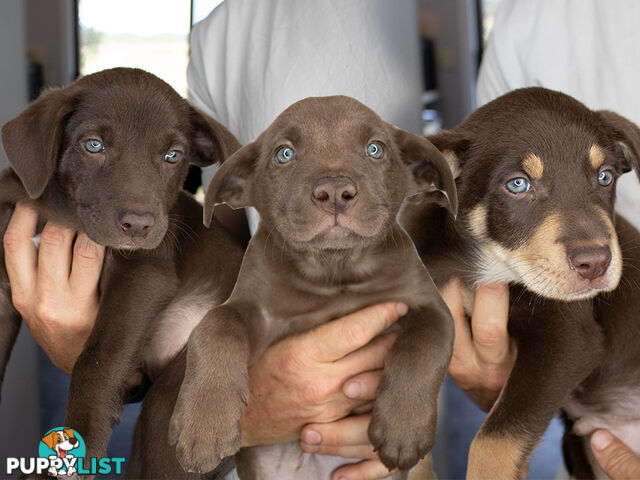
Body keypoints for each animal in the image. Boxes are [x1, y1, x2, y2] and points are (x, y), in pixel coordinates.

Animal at [0, 68, 244, 476]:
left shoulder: (144, 272)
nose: (139, 225)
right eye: (94, 145)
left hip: (174, 404)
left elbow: (97, 358)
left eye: (173, 156)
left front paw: (81, 437)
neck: (63, 211)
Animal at [162, 95, 458, 478]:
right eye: (284, 154)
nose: (333, 191)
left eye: (375, 149)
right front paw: (204, 424)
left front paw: (403, 428)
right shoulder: (254, 311)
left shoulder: (429, 305)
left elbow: (423, 345)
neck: (334, 271)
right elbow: (217, 325)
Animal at [400, 87, 640, 480]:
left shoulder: (569, 339)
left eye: (605, 177)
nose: (595, 263)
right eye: (517, 184)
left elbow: (493, 442)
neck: (483, 266)